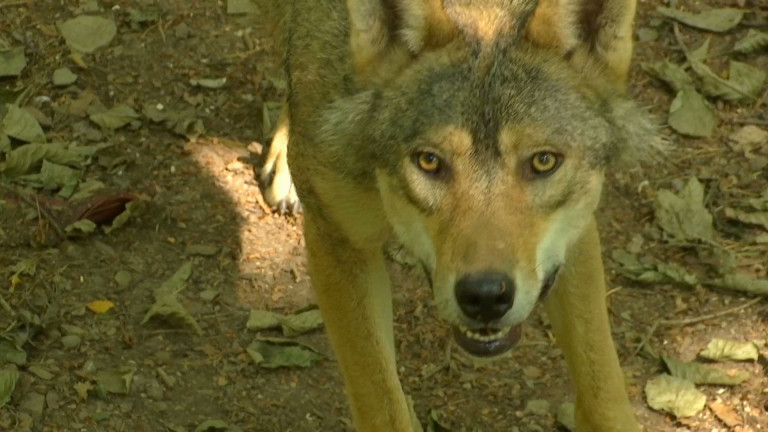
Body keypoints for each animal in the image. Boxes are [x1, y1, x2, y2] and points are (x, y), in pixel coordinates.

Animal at [258, 0, 656, 430]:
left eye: (544, 161)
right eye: (429, 161)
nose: (485, 296)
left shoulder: (572, 239)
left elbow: (603, 390)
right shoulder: (340, 243)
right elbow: (382, 405)